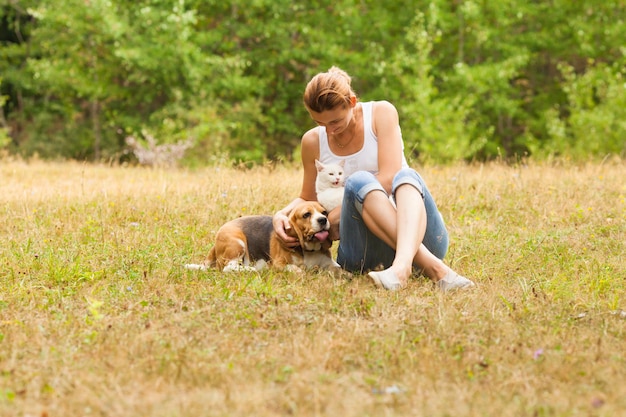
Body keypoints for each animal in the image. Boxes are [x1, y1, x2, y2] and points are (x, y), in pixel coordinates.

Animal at [185, 201, 342, 272]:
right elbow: (297, 269)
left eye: (324, 212)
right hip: (237, 243)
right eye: (306, 215)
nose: (323, 220)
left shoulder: (330, 263)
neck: (309, 249)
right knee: (228, 268)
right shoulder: (279, 264)